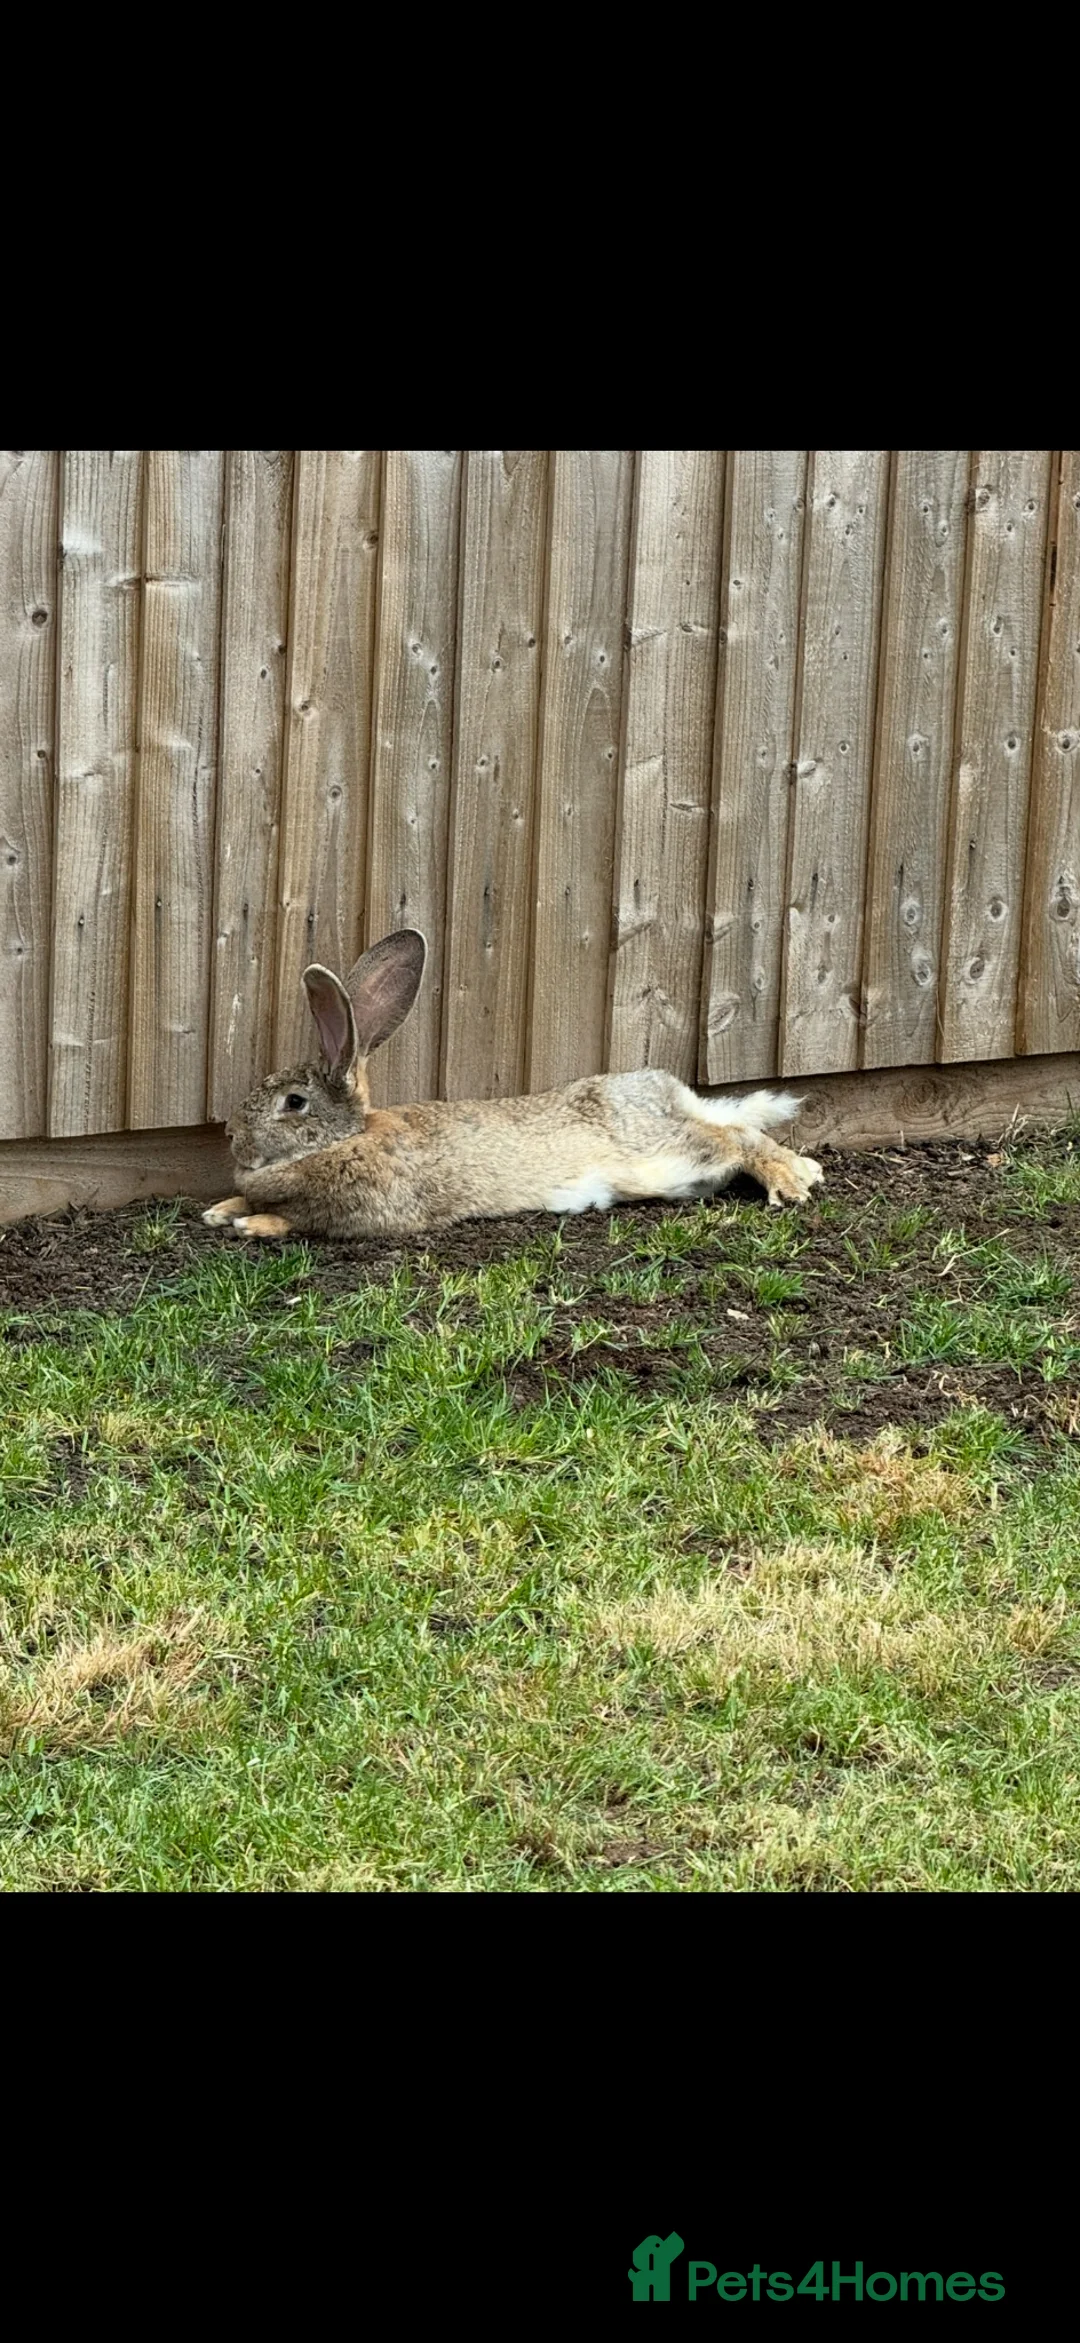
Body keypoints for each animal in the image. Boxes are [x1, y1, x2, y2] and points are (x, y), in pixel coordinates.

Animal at [203, 929, 824, 1241]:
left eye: (294, 1103)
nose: (231, 1134)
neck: (347, 1138)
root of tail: (673, 1093)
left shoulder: (369, 1212)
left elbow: (298, 1221)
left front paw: (251, 1223)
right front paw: (220, 1210)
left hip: (669, 1151)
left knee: (740, 1139)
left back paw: (792, 1181)